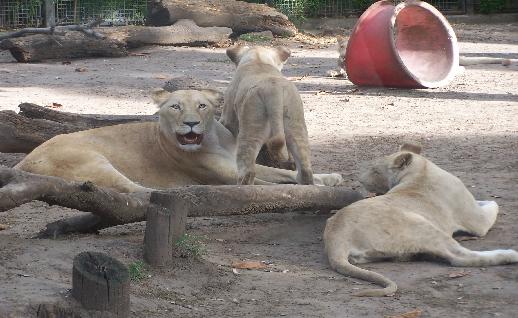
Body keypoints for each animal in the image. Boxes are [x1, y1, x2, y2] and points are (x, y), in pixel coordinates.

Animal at [324, 143, 518, 296]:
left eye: (374, 170)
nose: (359, 179)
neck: (421, 169)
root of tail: (336, 238)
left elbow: (487, 202)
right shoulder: (478, 221)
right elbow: (494, 204)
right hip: (424, 226)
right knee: (460, 258)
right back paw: (510, 254)